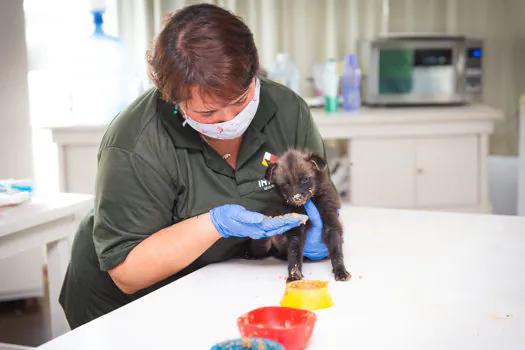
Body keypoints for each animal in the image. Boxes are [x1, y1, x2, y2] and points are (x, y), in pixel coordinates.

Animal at [251, 147, 350, 282]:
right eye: (285, 184)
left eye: (305, 179)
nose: (297, 198)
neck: (305, 206)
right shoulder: (295, 230)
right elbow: (294, 253)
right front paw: (294, 274)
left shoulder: (331, 218)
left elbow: (336, 248)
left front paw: (340, 269)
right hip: (265, 242)